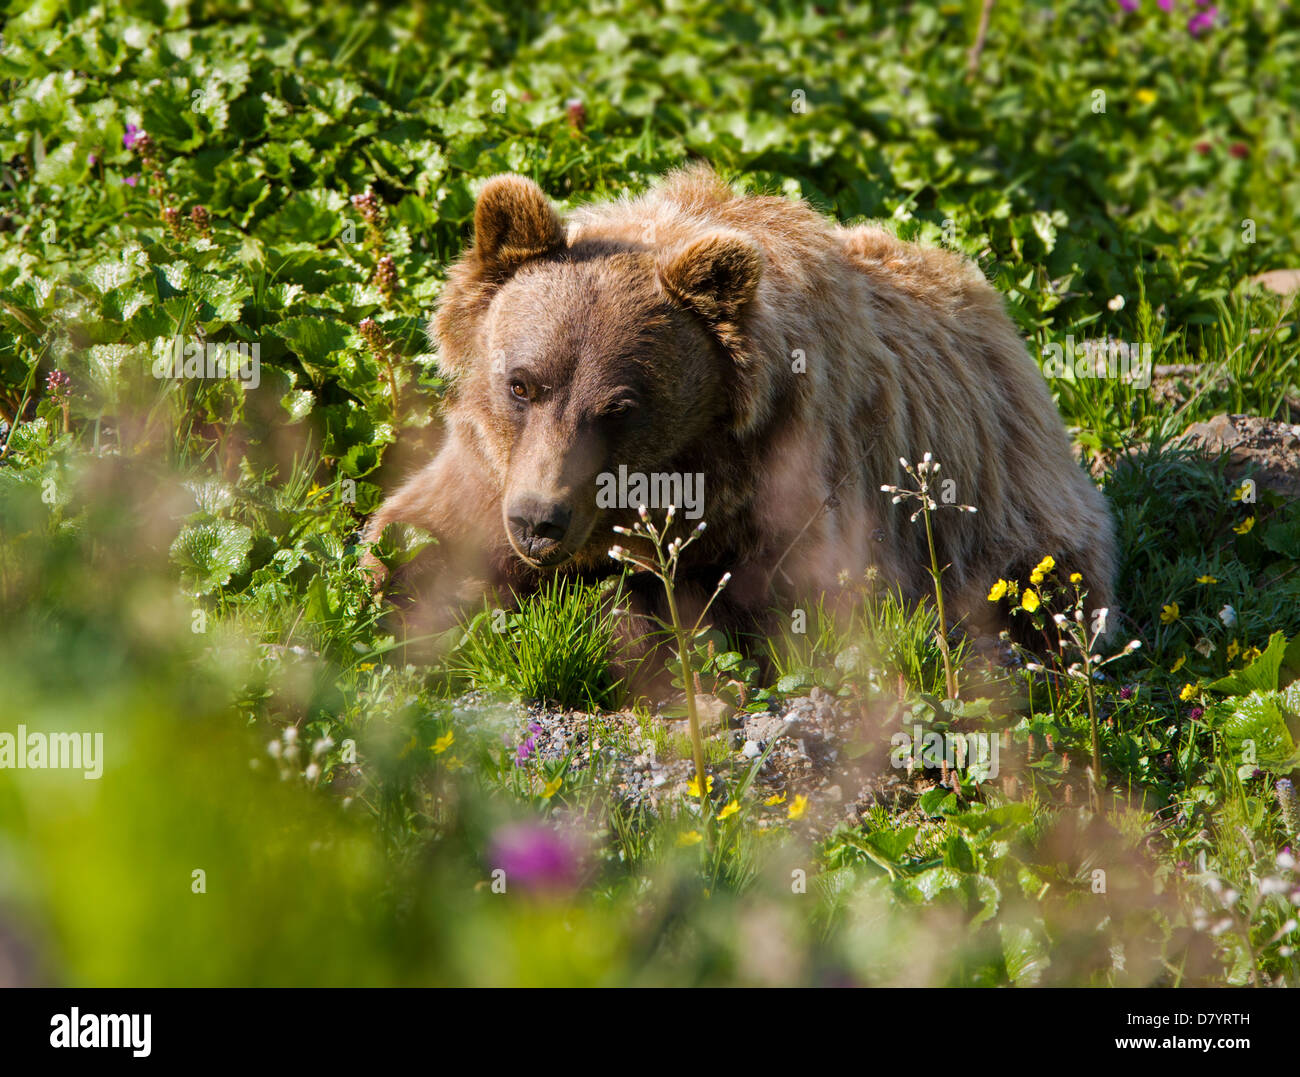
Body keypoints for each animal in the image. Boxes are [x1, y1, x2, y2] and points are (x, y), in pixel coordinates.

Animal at [366, 165, 1118, 671]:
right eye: (521, 383)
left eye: (620, 407)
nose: (539, 521)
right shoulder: (491, 467)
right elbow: (414, 532)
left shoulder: (787, 489)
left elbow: (770, 608)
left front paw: (621, 615)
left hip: (1014, 521)